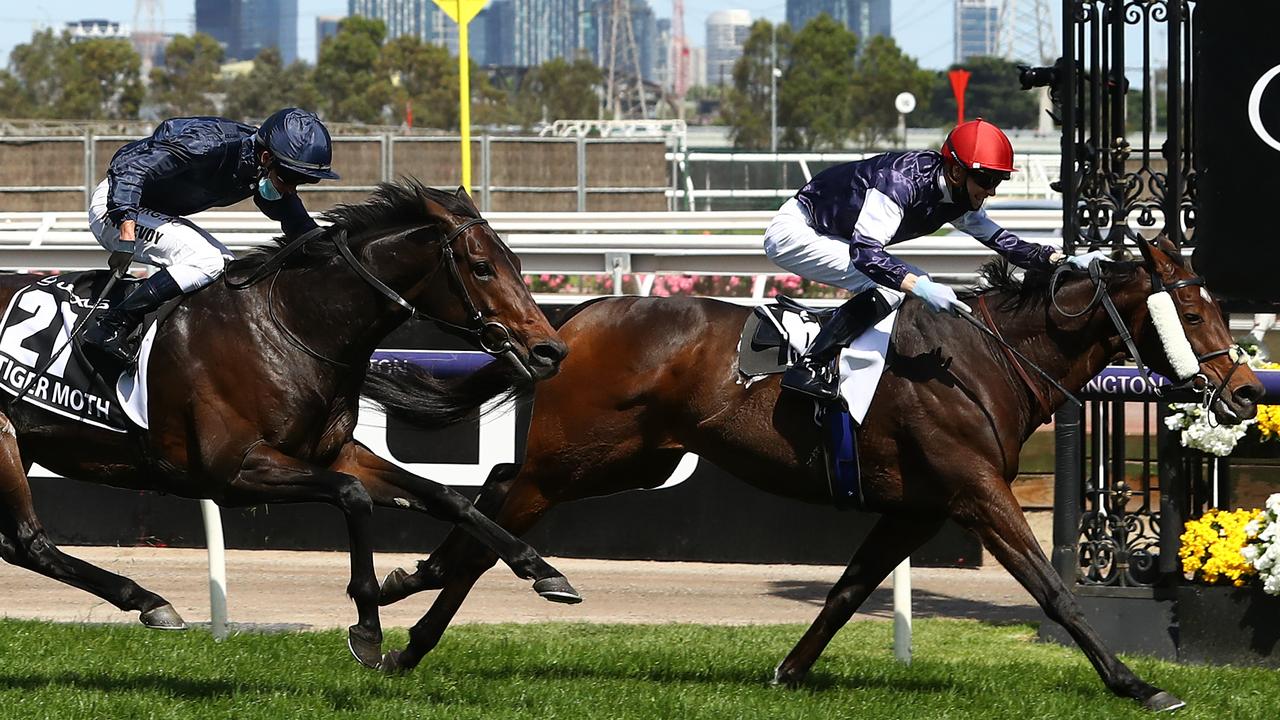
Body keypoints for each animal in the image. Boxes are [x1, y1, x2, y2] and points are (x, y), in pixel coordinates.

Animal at [0, 179, 576, 666]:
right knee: (30, 542)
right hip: (6, 441)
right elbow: (353, 497)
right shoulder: (234, 472)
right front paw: (368, 628)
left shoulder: (334, 453)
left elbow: (447, 496)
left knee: (19, 545)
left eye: (517, 262)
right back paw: (147, 599)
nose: (549, 350)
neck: (291, 327)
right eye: (481, 267)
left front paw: (541, 569)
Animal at [371, 235, 1259, 707]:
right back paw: (412, 627)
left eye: (1220, 307)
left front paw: (790, 671)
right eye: (1193, 309)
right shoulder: (975, 492)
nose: (1248, 391)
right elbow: (1053, 589)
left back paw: (410, 591)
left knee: (495, 487)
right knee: (500, 513)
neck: (982, 360)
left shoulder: (918, 508)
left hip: (634, 458)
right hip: (578, 457)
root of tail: (574, 319)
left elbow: (846, 591)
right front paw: (1137, 683)